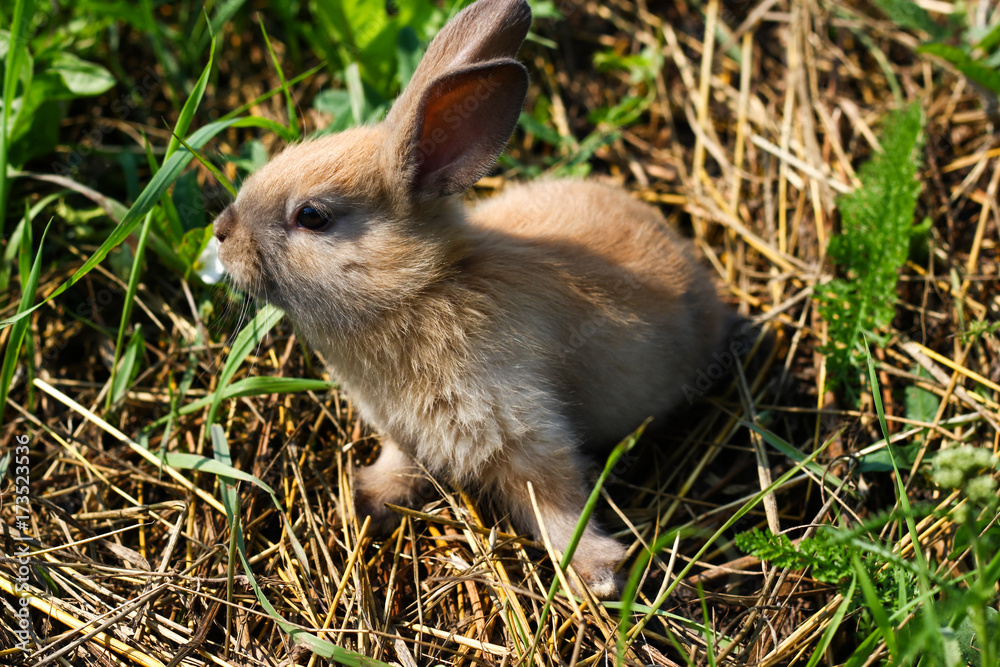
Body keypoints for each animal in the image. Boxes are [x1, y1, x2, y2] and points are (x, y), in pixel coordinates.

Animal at [212, 0, 728, 598]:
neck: (420, 286)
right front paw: (369, 496)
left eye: (312, 216)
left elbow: (556, 502)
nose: (221, 233)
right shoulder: (405, 432)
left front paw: (596, 572)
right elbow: (401, 463)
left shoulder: (525, 430)